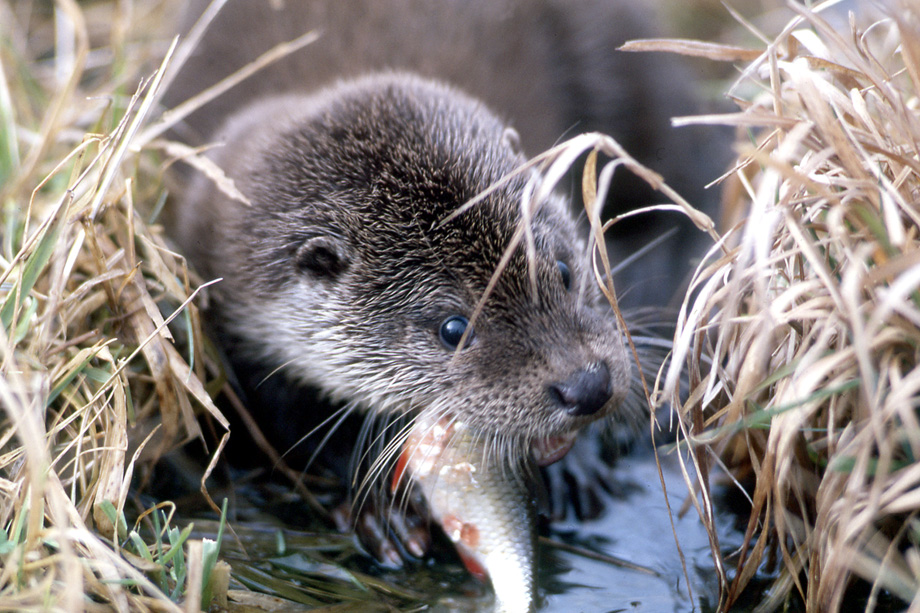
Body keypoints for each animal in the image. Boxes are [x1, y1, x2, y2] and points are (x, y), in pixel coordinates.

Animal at [165, 0, 724, 560]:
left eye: (564, 272)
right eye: (453, 329)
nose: (587, 385)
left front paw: (577, 463)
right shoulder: (225, 311)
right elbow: (286, 426)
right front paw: (379, 508)